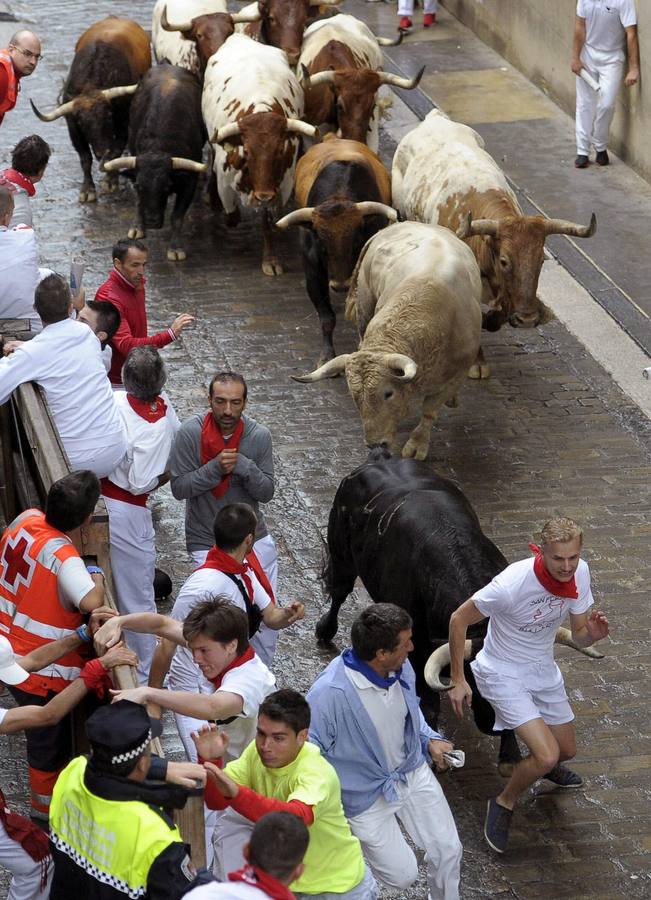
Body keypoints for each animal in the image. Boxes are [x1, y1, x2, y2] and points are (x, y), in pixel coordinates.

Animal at [201, 32, 318, 274]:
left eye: (280, 150)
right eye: (247, 151)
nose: (262, 195)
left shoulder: (281, 185)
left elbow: (268, 221)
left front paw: (270, 260)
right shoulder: (226, 182)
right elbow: (232, 215)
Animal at [296, 217, 484, 458]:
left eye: (388, 393)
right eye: (355, 396)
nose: (375, 443)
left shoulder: (457, 374)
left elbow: (430, 409)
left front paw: (417, 443)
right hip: (365, 303)